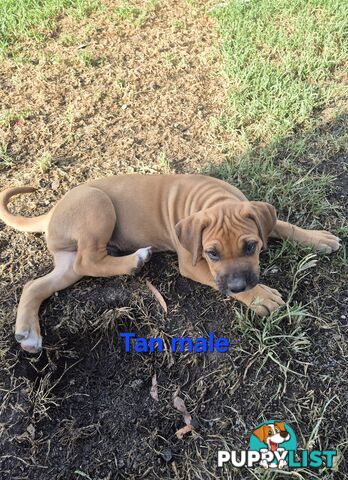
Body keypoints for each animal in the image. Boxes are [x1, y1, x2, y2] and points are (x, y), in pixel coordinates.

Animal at [0, 173, 340, 352]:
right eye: (212, 254)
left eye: (251, 246)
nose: (238, 285)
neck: (214, 200)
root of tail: (54, 209)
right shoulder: (192, 264)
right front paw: (260, 296)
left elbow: (282, 225)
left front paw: (318, 239)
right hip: (98, 206)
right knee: (89, 260)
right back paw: (135, 260)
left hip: (66, 264)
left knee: (35, 285)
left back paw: (28, 333)